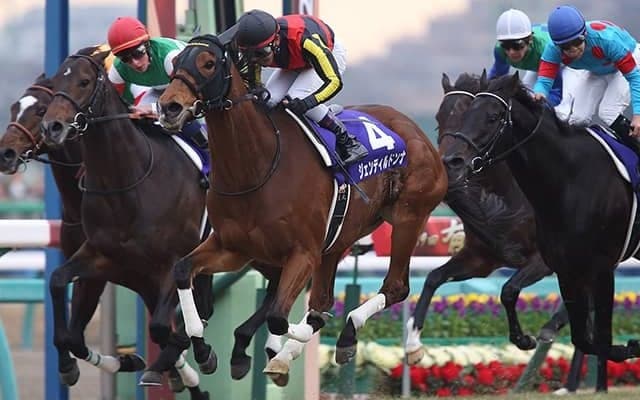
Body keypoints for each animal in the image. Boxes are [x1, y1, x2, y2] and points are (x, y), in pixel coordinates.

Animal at [36, 47, 218, 398]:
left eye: (84, 81)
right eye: (56, 81)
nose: (52, 127)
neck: (126, 183)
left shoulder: (170, 263)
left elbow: (162, 327)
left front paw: (187, 359)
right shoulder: (101, 258)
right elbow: (58, 286)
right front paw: (73, 365)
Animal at [155, 33, 447, 378]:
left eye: (209, 63)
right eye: (175, 62)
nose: (169, 107)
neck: (255, 167)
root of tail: (418, 133)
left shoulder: (302, 253)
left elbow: (279, 318)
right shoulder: (233, 248)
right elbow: (183, 269)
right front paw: (202, 349)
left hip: (409, 217)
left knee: (395, 287)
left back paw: (352, 334)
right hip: (340, 237)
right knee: (324, 297)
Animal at [407, 71, 605, 392]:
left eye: (479, 116)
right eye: (439, 118)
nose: (449, 164)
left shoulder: (543, 261)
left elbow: (509, 290)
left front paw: (526, 338)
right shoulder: (482, 259)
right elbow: (433, 278)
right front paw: (413, 346)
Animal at [442, 72, 640, 392]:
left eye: (493, 117)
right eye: (467, 113)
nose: (452, 161)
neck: (568, 180)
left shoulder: (599, 268)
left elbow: (601, 335)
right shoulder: (565, 269)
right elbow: (583, 337)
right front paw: (525, 339)